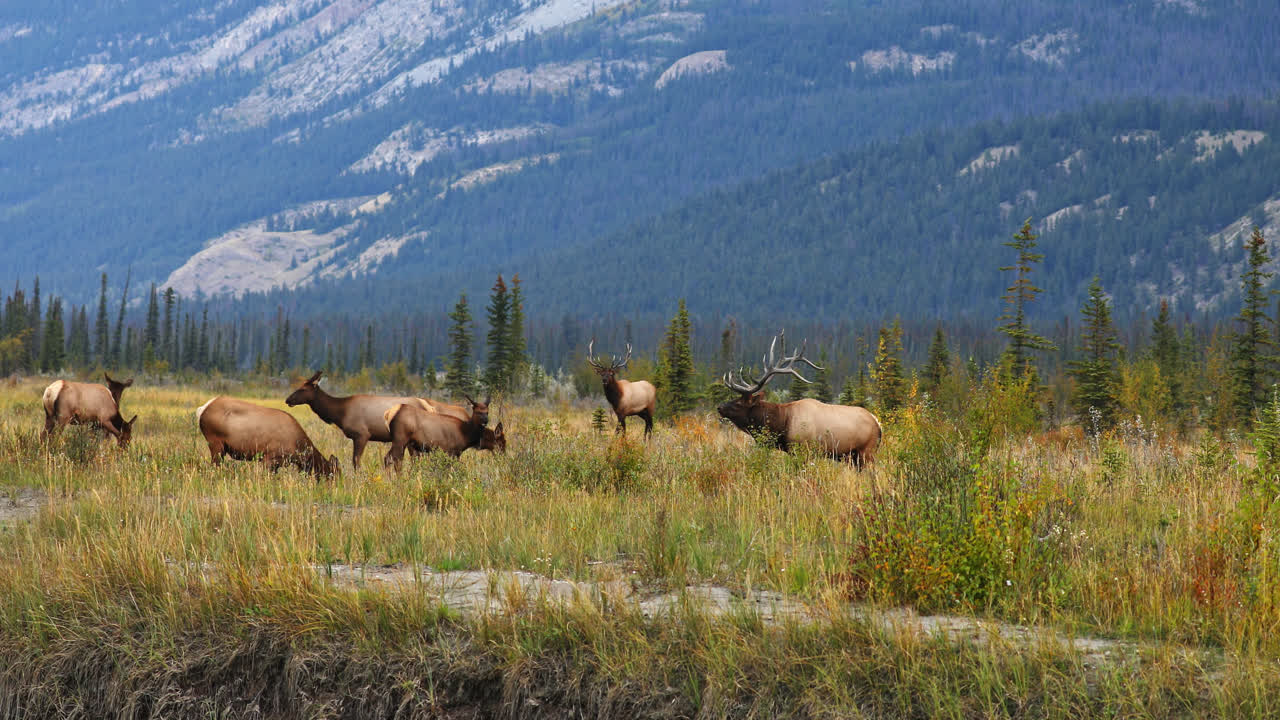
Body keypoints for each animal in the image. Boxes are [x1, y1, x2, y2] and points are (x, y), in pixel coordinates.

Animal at [716, 333, 885, 468]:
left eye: (738, 403)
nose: (719, 407)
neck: (782, 423)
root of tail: (877, 423)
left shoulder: (803, 449)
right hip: (854, 457)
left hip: (866, 452)